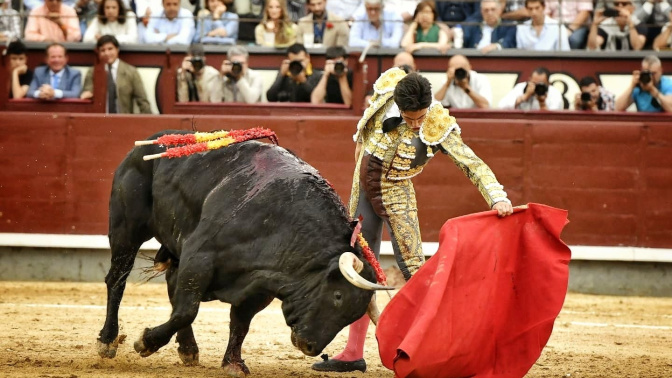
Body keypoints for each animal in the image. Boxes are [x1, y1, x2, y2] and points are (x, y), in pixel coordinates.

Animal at [94, 131, 388, 376]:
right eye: (337, 296)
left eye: (353, 315)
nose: (310, 346)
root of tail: (149, 142)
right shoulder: (199, 257)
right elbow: (188, 309)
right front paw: (145, 342)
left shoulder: (258, 286)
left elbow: (240, 322)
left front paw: (233, 363)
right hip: (127, 229)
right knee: (117, 280)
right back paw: (107, 341)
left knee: (170, 283)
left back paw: (188, 349)